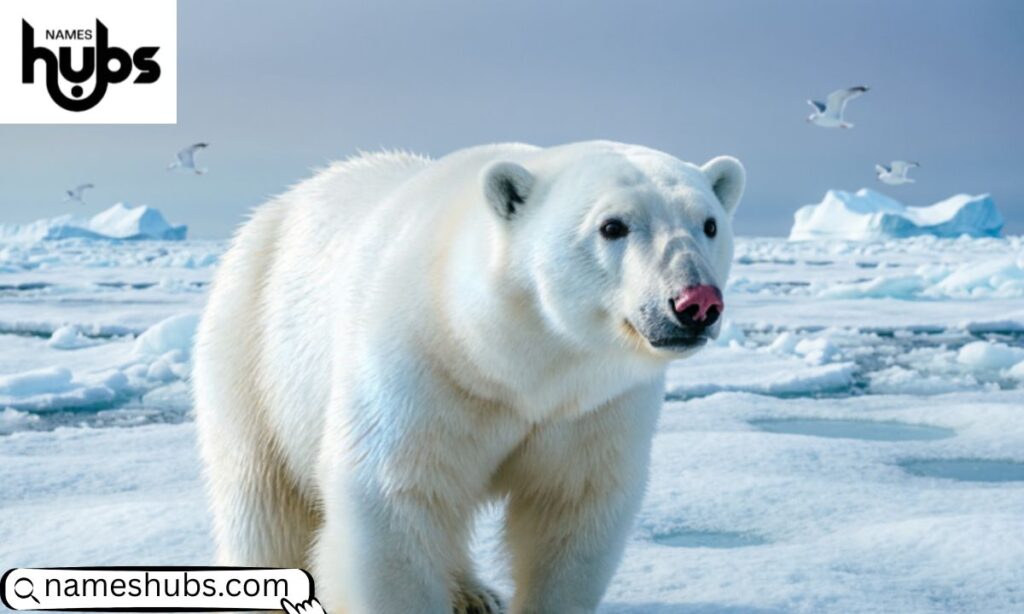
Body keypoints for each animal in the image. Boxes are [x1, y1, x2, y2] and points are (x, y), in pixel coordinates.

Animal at [193, 141, 745, 614]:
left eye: (709, 224)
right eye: (613, 226)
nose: (696, 302)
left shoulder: (595, 404)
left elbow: (574, 508)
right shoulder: (421, 372)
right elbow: (394, 498)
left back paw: (473, 593)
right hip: (249, 345)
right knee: (260, 498)